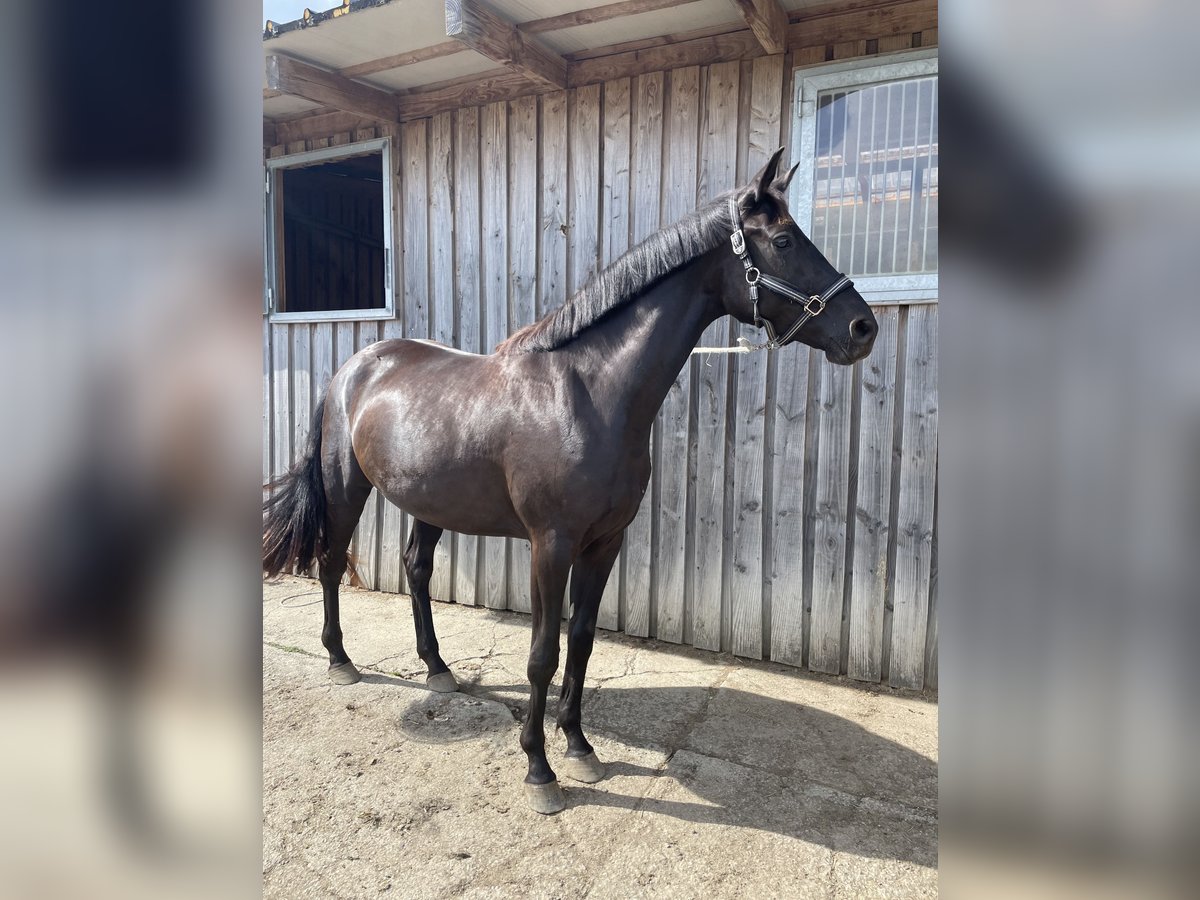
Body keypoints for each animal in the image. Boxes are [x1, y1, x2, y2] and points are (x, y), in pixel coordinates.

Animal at [265, 144, 883, 816]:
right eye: (785, 240)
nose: (863, 328)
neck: (591, 393)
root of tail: (353, 368)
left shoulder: (605, 541)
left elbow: (582, 641)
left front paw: (581, 746)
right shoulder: (551, 544)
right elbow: (543, 653)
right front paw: (540, 769)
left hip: (431, 502)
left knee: (416, 568)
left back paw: (438, 669)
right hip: (346, 487)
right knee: (330, 562)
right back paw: (340, 660)